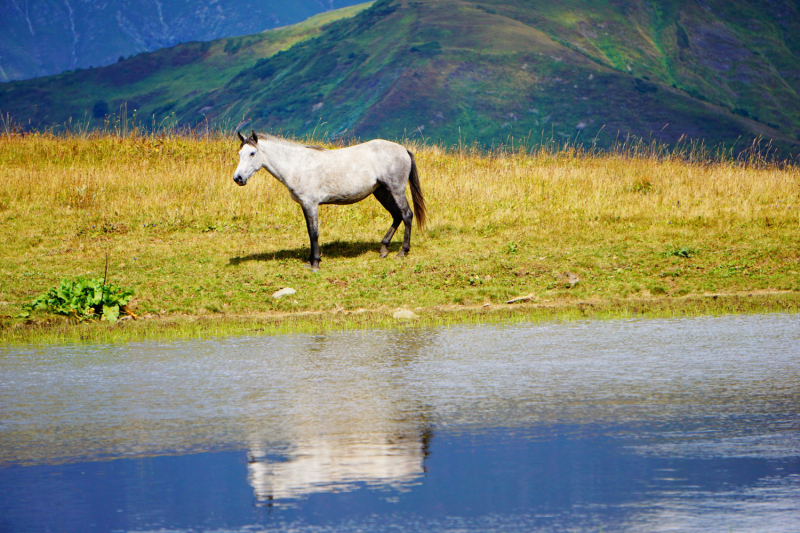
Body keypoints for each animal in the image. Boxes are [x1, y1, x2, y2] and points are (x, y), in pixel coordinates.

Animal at [234, 129, 428, 270]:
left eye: (252, 153)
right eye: (239, 153)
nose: (238, 178)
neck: (297, 164)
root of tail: (403, 150)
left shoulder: (311, 204)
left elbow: (314, 233)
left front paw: (315, 263)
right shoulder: (305, 205)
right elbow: (309, 231)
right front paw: (310, 260)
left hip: (396, 190)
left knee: (407, 215)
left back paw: (402, 251)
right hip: (382, 192)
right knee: (397, 216)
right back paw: (383, 249)